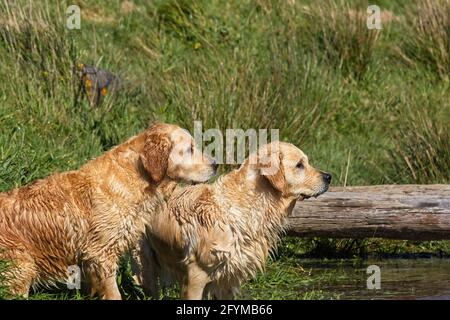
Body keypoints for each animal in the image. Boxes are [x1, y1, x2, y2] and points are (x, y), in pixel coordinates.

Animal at [0, 121, 216, 298]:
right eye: (190, 149)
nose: (216, 164)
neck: (135, 178)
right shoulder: (101, 253)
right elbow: (113, 292)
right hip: (23, 265)